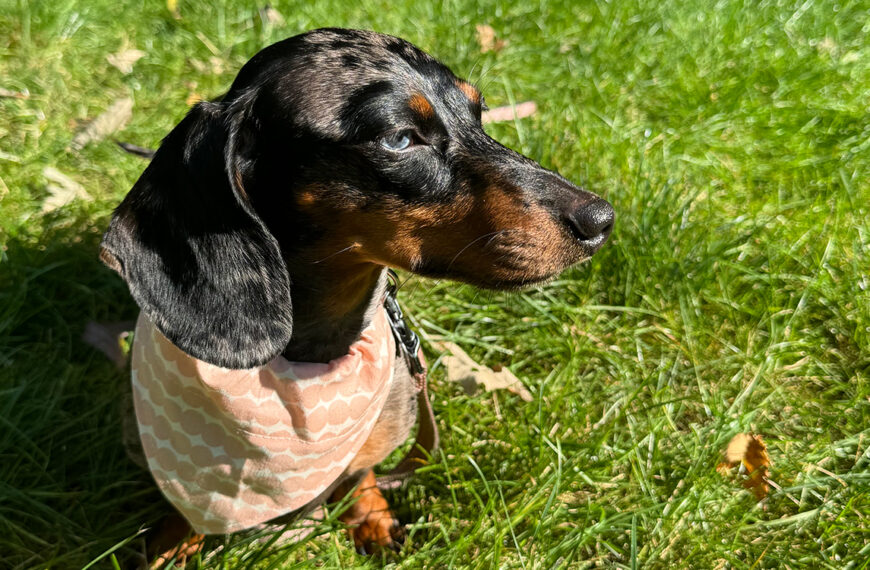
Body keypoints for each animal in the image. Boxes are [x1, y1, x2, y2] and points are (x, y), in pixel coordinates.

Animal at [100, 27, 612, 560]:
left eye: (478, 114)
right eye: (400, 138)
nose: (602, 220)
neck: (310, 358)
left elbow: (360, 469)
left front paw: (368, 514)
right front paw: (171, 545)